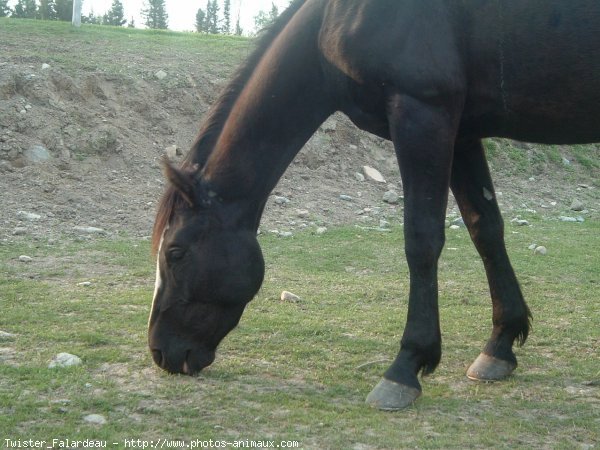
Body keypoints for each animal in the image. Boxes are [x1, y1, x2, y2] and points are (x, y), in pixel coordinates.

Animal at [149, 0, 600, 412]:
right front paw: (500, 345)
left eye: (175, 253)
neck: (339, 17)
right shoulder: (462, 132)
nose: (160, 351)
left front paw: (406, 366)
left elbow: (421, 240)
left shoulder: (422, 114)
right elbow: (484, 228)